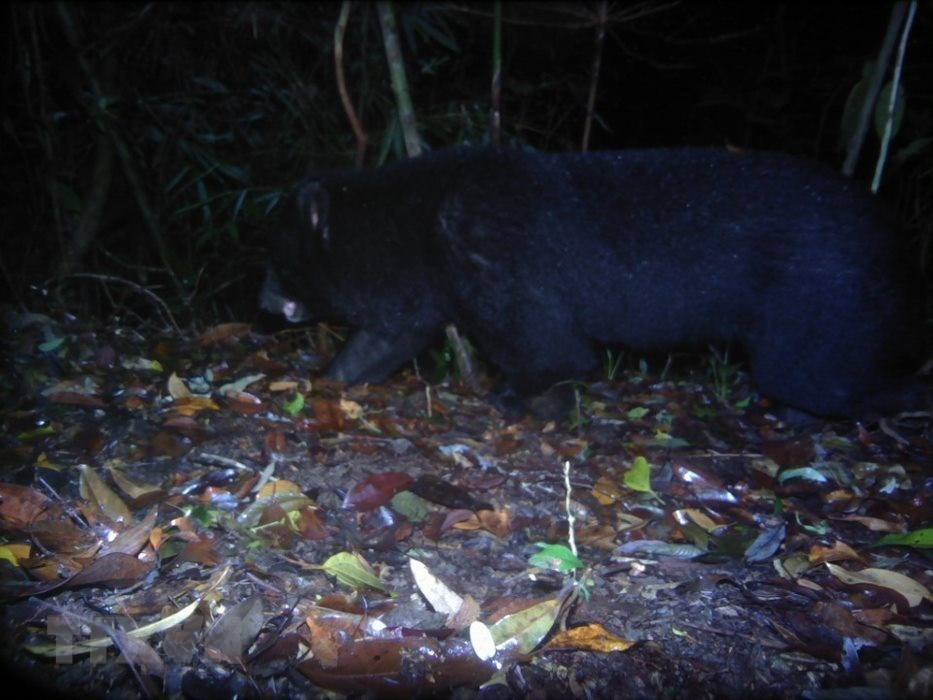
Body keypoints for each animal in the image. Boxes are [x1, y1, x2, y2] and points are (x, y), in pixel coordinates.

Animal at [260, 146, 926, 419]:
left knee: (821, 376)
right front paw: (330, 379)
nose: (264, 303)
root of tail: (896, 232)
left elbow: (553, 349)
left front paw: (518, 398)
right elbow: (385, 337)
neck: (415, 222)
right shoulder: (424, 285)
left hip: (819, 299)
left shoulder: (498, 257)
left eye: (277, 258)